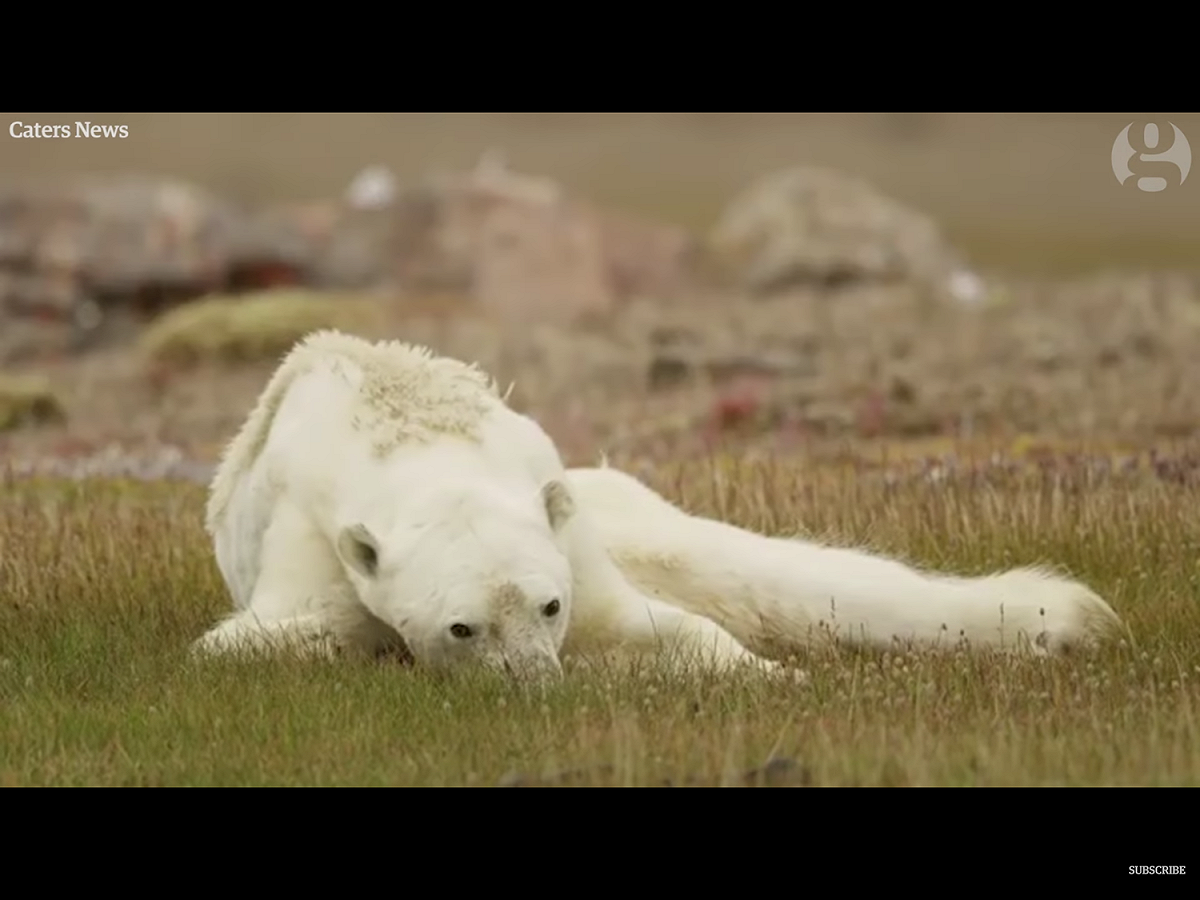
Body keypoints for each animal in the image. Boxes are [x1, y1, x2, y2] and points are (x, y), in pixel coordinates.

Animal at [196, 330, 771, 678]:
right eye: (462, 628)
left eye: (550, 606)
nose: (537, 682)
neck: (422, 446)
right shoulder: (312, 539)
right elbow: (259, 636)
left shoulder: (564, 532)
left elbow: (632, 622)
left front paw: (771, 673)